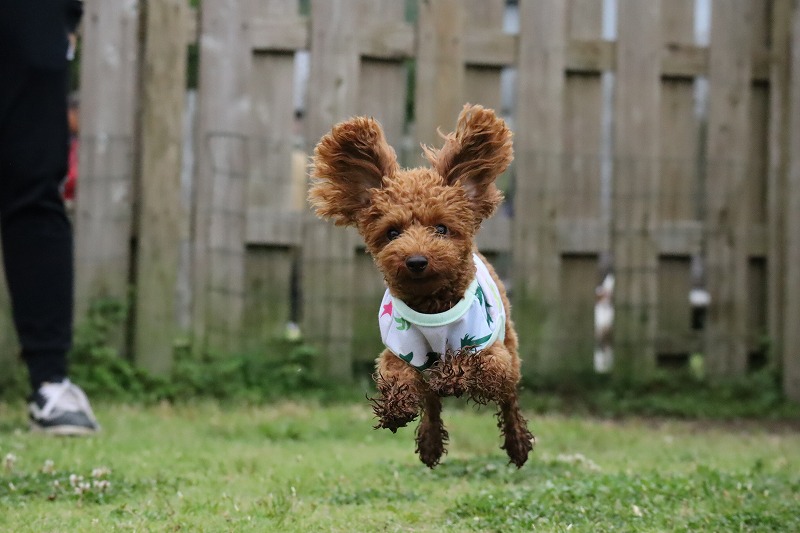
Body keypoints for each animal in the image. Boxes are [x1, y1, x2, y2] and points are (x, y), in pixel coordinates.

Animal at [309, 104, 534, 468]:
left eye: (441, 228)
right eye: (392, 232)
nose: (415, 260)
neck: (432, 304)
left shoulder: (490, 351)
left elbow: (478, 365)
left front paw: (453, 375)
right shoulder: (400, 348)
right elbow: (398, 375)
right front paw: (396, 407)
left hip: (510, 349)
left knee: (508, 396)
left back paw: (517, 443)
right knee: (431, 401)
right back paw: (429, 442)